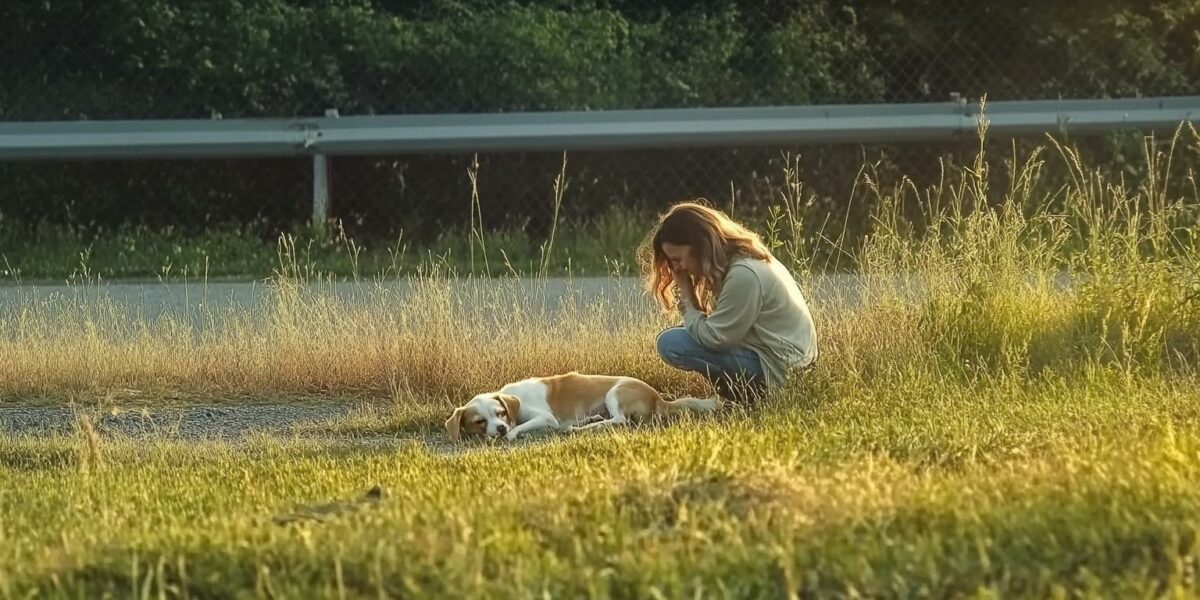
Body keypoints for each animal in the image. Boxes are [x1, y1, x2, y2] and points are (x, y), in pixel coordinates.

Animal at [446, 369, 715, 441]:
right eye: (480, 421)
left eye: (500, 413)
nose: (500, 428)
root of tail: (658, 398)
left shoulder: (545, 418)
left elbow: (521, 426)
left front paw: (511, 434)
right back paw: (589, 420)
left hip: (615, 393)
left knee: (619, 421)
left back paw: (579, 428)